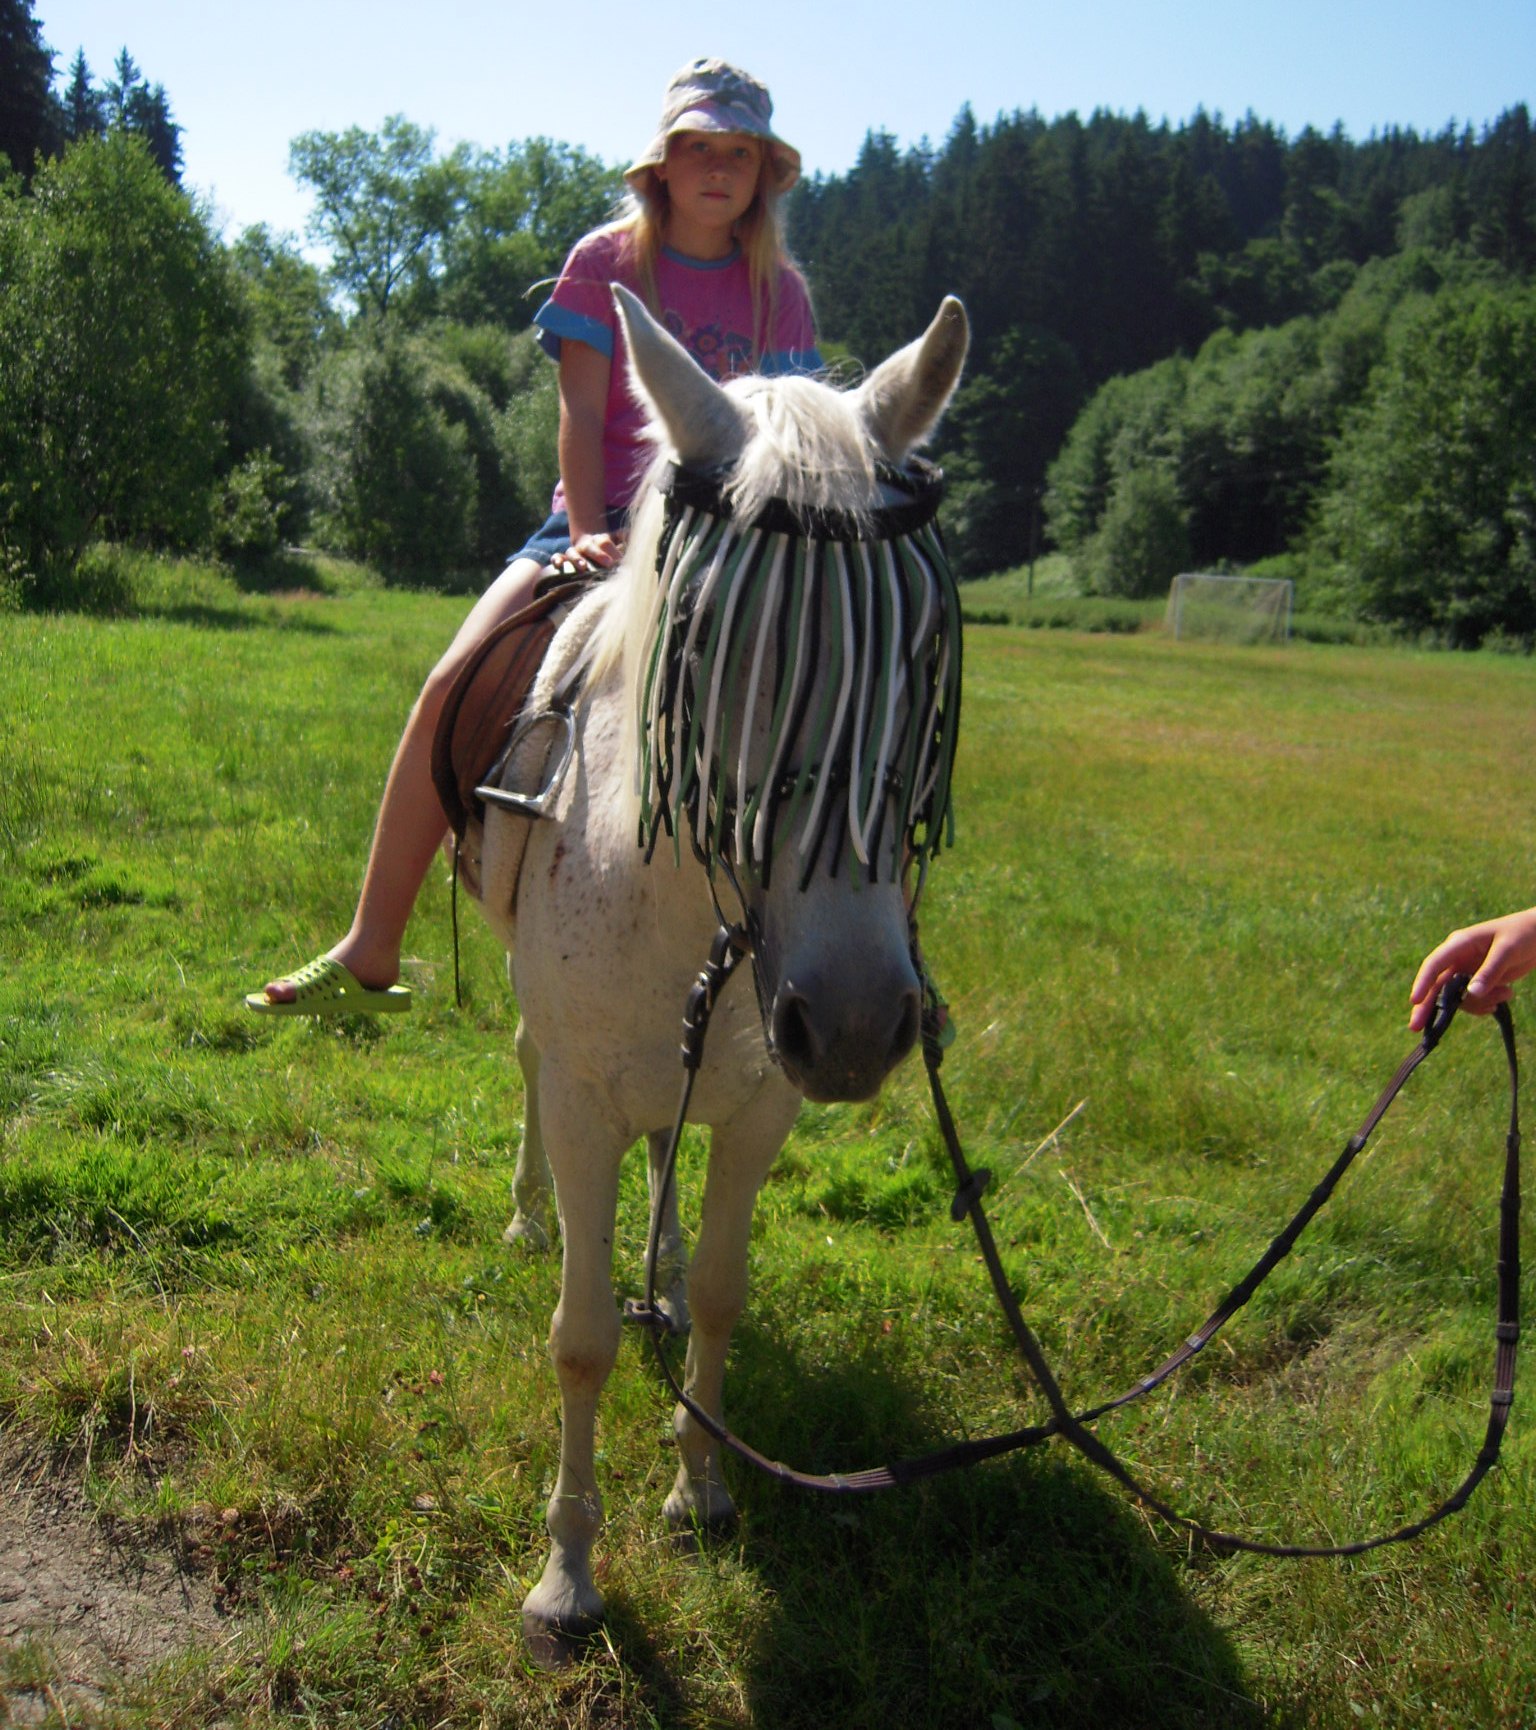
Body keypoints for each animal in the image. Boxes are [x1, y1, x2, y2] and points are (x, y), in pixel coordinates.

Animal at [462, 284, 970, 1651]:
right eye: (702, 647)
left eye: (924, 653)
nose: (854, 1019)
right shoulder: (584, 1095)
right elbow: (581, 1337)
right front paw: (567, 1578)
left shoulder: (762, 1103)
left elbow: (733, 1290)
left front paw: (701, 1487)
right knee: (528, 1070)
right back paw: (528, 1214)